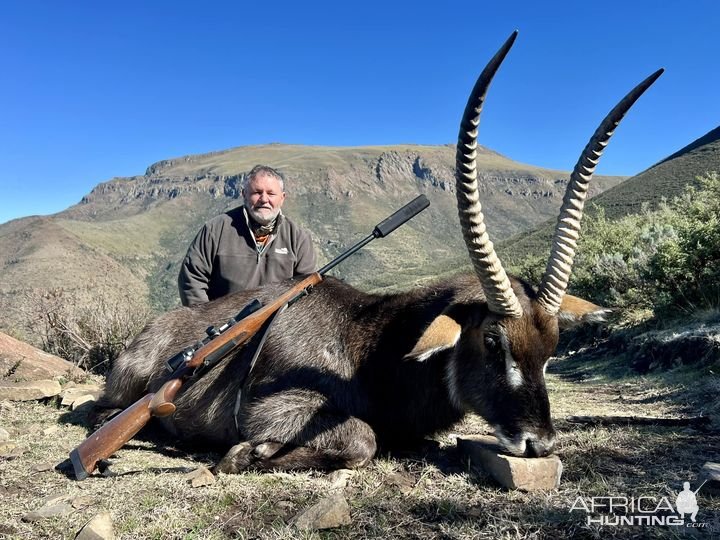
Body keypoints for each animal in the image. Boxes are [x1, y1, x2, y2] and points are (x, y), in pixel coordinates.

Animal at [97, 33, 664, 472]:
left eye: (551, 348)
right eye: (492, 342)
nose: (538, 444)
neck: (371, 341)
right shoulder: (274, 407)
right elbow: (362, 439)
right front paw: (244, 454)